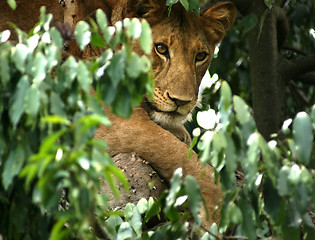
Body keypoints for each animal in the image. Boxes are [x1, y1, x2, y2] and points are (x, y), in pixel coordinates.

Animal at [94, 0, 237, 226]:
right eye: (161, 48)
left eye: (200, 56)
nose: (181, 101)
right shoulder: (113, 122)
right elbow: (181, 156)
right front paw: (218, 210)